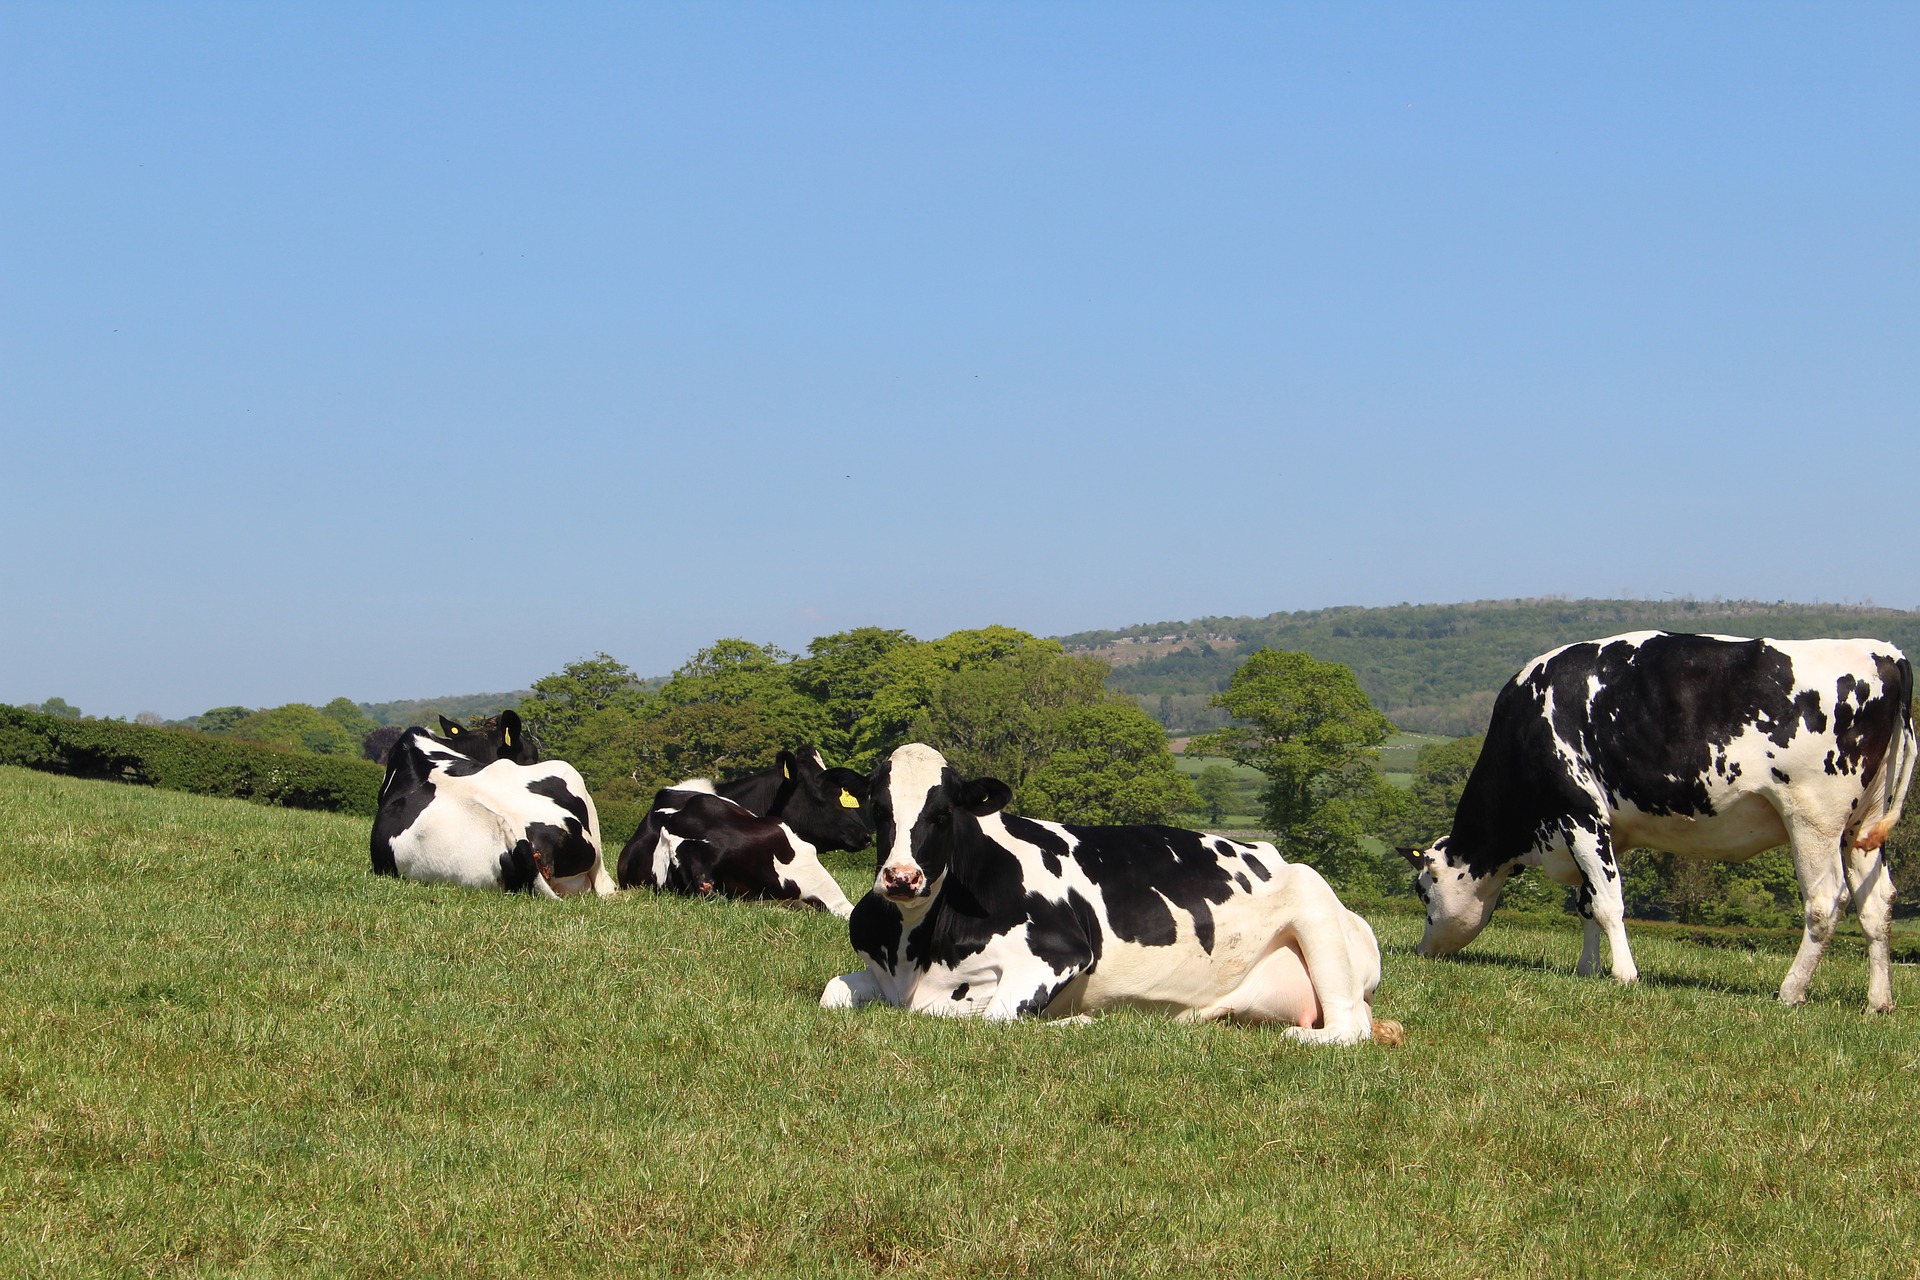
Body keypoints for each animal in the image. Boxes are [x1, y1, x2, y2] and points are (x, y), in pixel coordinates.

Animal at [817, 744, 1405, 1043]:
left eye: (943, 814)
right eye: (878, 809)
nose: (901, 877)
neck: (914, 949)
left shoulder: (1059, 952)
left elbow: (981, 1013)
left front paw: (1074, 1019)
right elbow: (832, 993)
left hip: (1314, 905)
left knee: (1347, 1028)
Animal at [1405, 629, 1912, 1013]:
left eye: (1424, 892)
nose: (1422, 952)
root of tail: (1885, 653)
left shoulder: (1580, 814)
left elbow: (1609, 903)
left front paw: (1624, 975)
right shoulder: (1598, 831)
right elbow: (1587, 903)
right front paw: (1587, 970)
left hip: (1813, 817)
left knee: (1825, 902)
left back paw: (1790, 992)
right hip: (1860, 828)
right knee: (1876, 904)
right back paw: (1879, 1002)